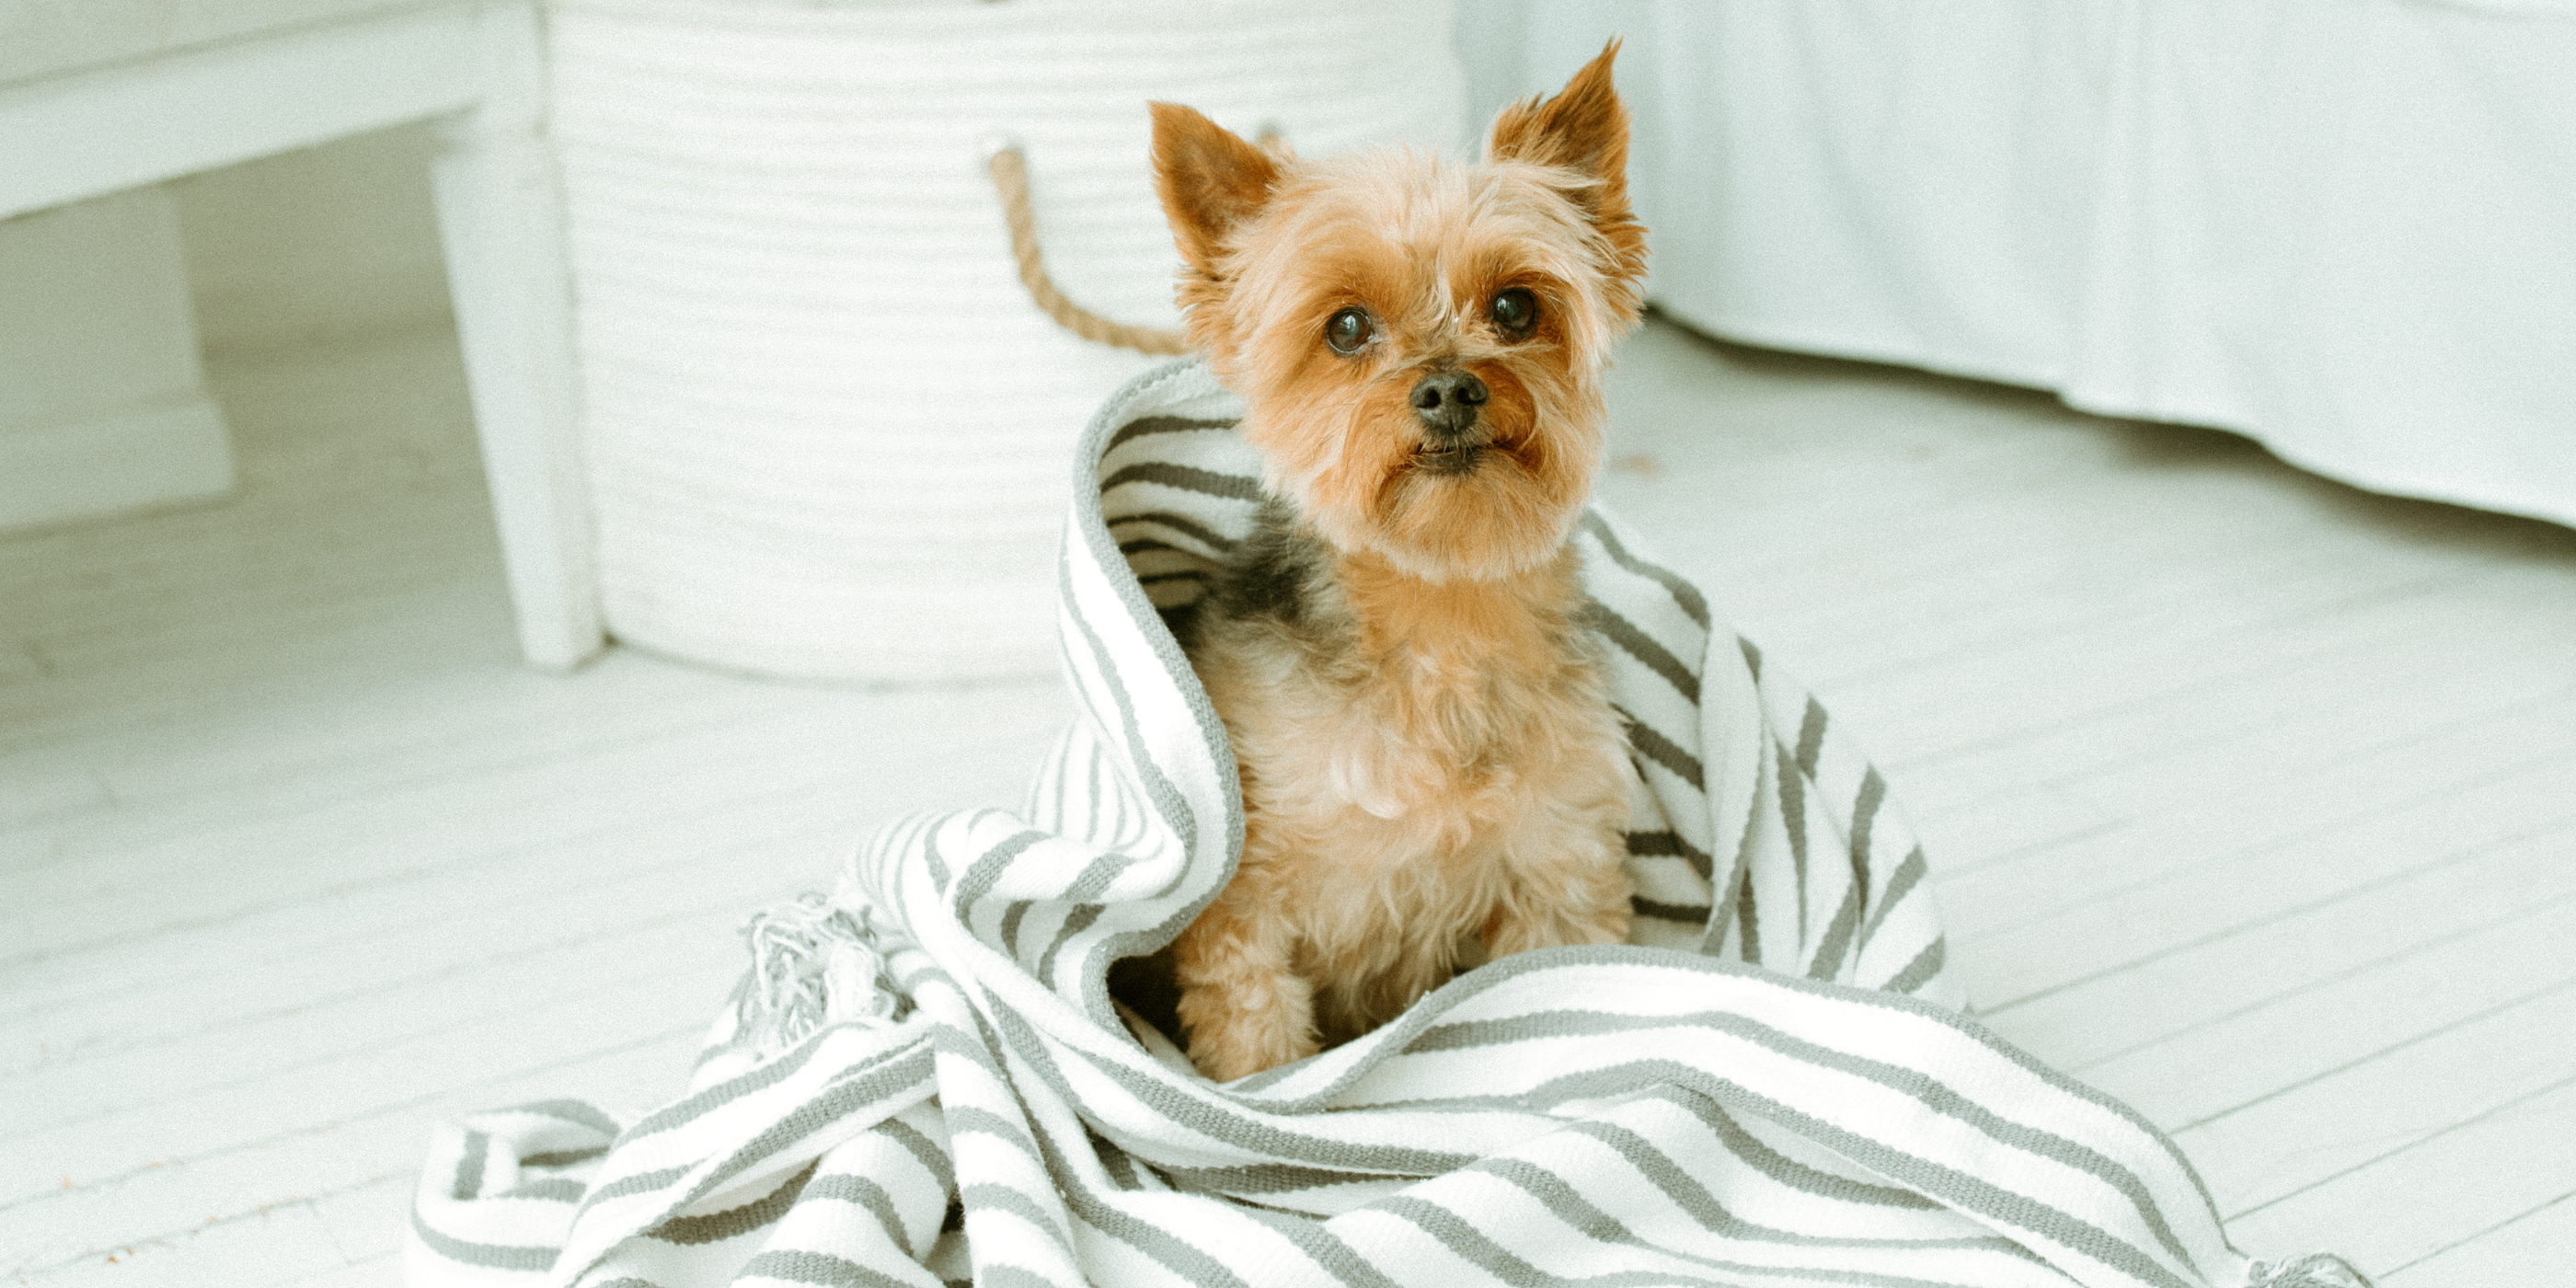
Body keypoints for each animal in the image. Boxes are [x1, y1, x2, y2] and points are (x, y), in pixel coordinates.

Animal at [1148, 45, 1649, 1082]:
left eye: (1515, 306)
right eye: (1345, 327)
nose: (1451, 387)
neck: (1438, 606)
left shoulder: (1558, 871)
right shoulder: (1243, 906)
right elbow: (1254, 1032)